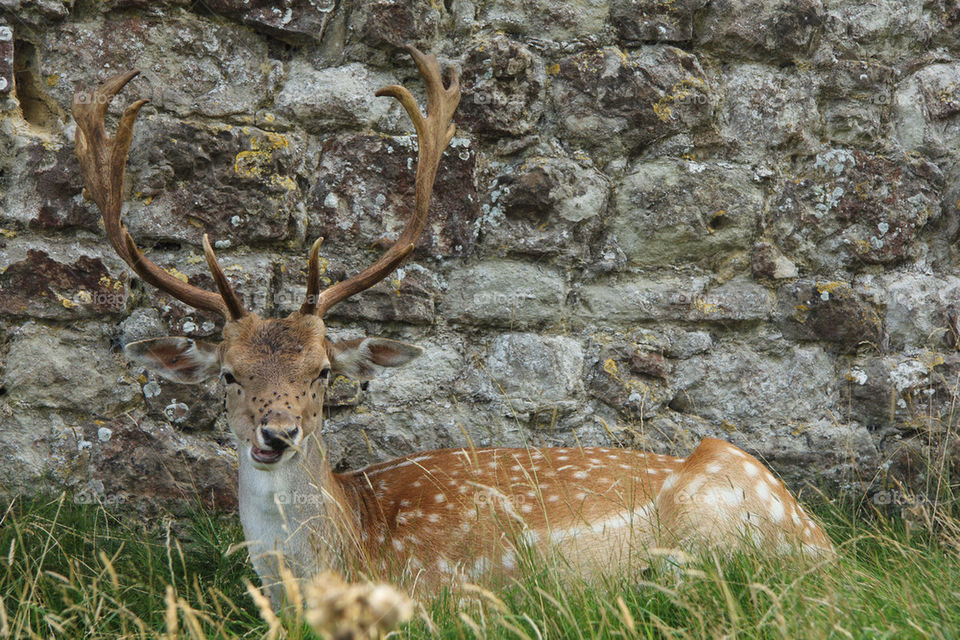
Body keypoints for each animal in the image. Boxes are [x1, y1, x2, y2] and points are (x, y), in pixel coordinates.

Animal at [72, 45, 833, 605]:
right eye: (230, 374)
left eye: (323, 372)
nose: (278, 433)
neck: (349, 560)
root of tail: (823, 542)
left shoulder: (462, 596)